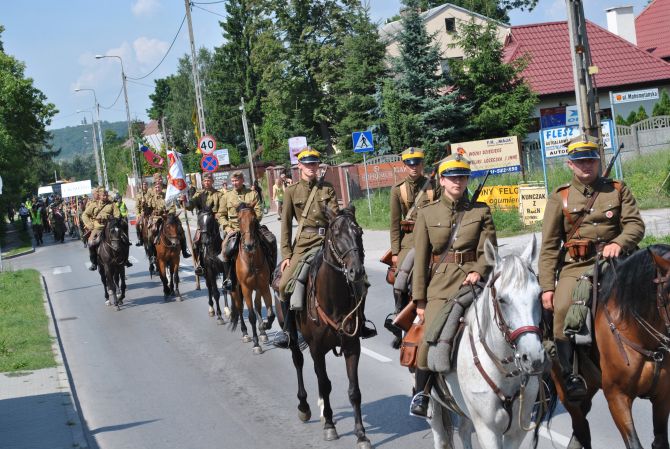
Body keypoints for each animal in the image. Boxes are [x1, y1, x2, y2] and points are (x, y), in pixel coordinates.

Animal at [228, 202, 276, 354]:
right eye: (238, 220)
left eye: (254, 219)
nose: (249, 245)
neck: (251, 260)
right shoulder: (246, 289)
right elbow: (251, 316)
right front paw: (256, 344)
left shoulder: (264, 286)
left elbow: (270, 313)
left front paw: (264, 327)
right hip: (235, 289)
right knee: (239, 307)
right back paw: (245, 333)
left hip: (258, 289)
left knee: (257, 306)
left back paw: (263, 333)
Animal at [430, 234, 556, 448]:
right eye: (502, 300)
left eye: (539, 295)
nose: (533, 358)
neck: (504, 371)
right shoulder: (487, 430)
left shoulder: (516, 432)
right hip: (434, 405)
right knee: (440, 436)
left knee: (463, 430)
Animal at [560, 245, 670, 448]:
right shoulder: (617, 397)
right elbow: (634, 443)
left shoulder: (663, 396)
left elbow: (660, 440)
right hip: (565, 392)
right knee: (580, 425)